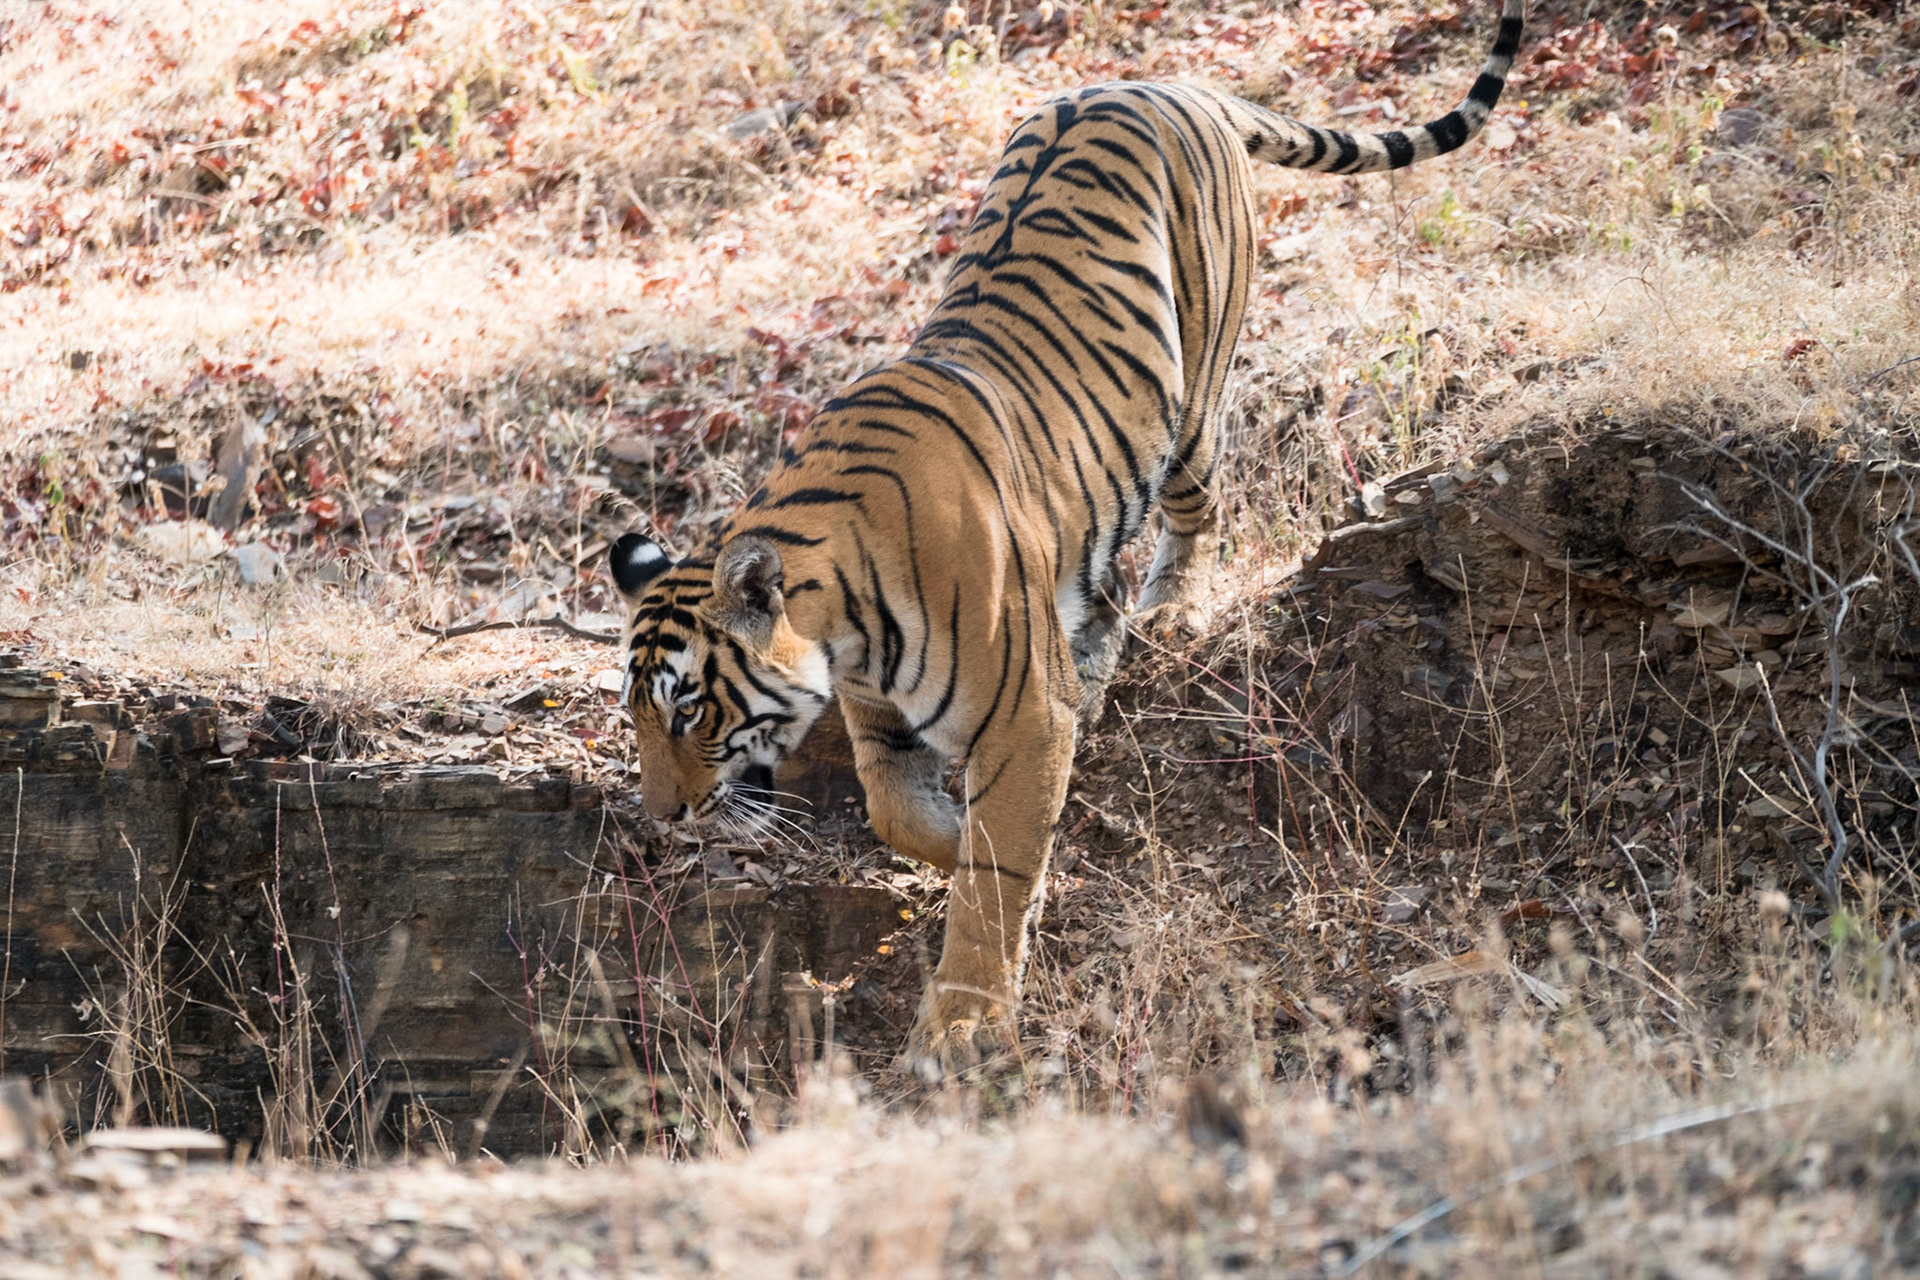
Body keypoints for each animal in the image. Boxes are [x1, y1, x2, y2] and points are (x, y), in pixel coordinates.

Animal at [609, 0, 1525, 1069]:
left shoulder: (1017, 714)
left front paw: (964, 1019)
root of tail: (1160, 81)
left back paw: (1167, 614)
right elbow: (910, 820)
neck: (840, 622)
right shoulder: (880, 718)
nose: (663, 819)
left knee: (1194, 518)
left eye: (686, 710)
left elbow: (993, 867)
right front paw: (997, 868)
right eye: (637, 713)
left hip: (1190, 409)